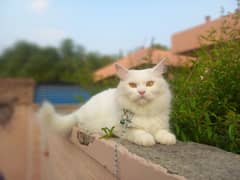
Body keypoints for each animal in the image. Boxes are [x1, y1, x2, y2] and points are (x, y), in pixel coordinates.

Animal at [37, 60, 176, 146]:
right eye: (132, 85)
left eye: (150, 84)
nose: (141, 92)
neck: (144, 112)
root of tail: (81, 109)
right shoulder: (121, 129)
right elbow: (138, 132)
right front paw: (147, 139)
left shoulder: (162, 124)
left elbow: (162, 131)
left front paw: (168, 138)